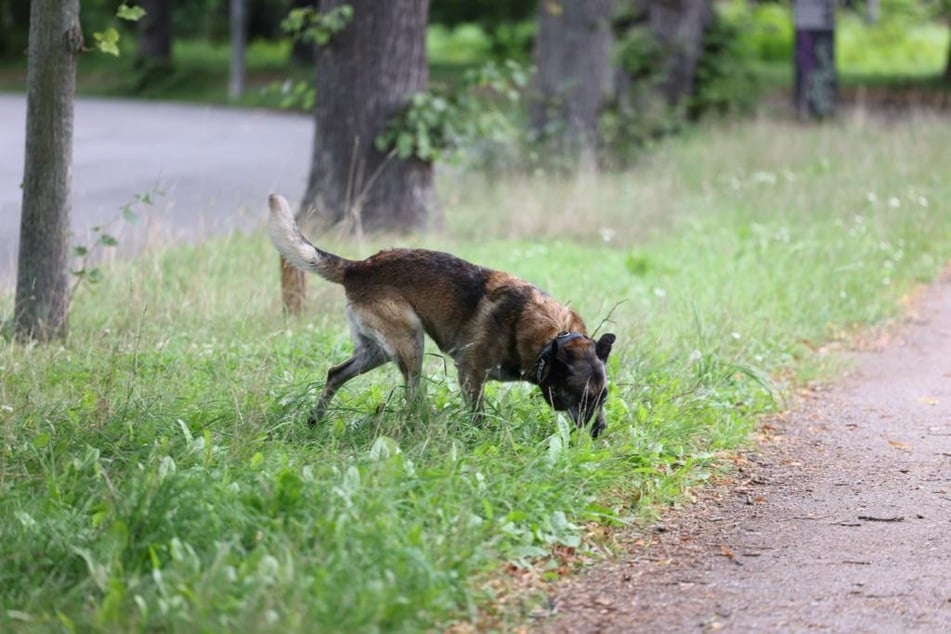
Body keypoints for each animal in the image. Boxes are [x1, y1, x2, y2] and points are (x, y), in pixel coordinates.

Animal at [266, 193, 616, 434]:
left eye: (603, 397)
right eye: (580, 396)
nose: (599, 432)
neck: (549, 337)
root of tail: (359, 267)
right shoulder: (470, 374)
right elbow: (478, 415)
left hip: (376, 352)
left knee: (334, 373)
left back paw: (315, 419)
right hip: (411, 343)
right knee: (411, 397)